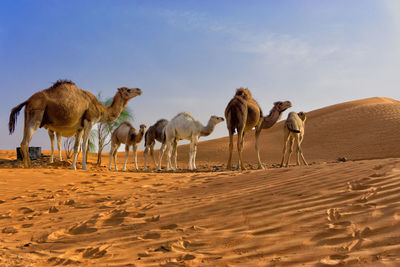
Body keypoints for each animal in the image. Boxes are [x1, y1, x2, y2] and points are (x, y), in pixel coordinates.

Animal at [7, 80, 142, 171]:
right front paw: (84, 167)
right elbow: (85, 145)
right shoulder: (89, 122)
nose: (139, 90)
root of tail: (28, 100)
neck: (100, 109)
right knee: (25, 142)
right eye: (128, 90)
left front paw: (73, 167)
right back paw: (27, 166)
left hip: (28, 116)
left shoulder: (79, 128)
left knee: (25, 140)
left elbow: (77, 147)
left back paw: (29, 165)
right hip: (36, 115)